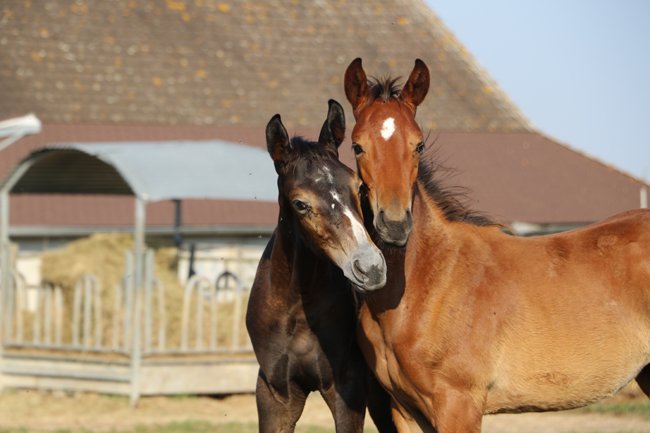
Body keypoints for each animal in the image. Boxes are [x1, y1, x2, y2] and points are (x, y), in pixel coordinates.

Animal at [246, 100, 396, 433]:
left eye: (358, 186)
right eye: (300, 203)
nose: (370, 268)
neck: (296, 310)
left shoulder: (347, 387)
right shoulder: (275, 393)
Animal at [343, 58, 650, 433]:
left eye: (418, 145)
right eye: (357, 145)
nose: (395, 225)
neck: (429, 282)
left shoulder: (458, 405)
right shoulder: (405, 412)